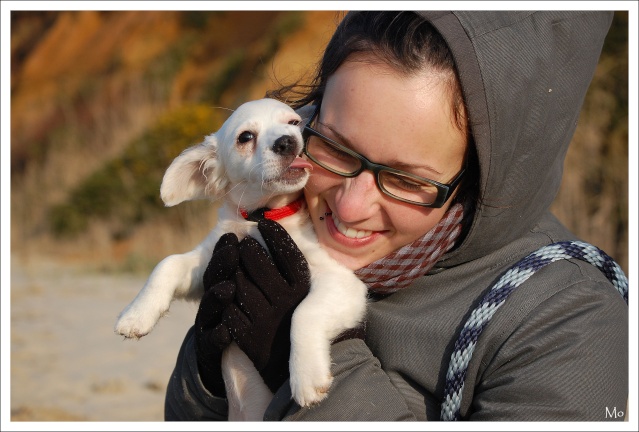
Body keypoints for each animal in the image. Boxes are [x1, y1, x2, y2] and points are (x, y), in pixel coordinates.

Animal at [112, 98, 368, 418]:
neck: (262, 218)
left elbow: (304, 312)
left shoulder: (341, 281)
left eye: (294, 124)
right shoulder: (213, 258)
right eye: (246, 137)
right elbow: (166, 263)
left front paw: (307, 375)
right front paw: (136, 314)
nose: (287, 141)